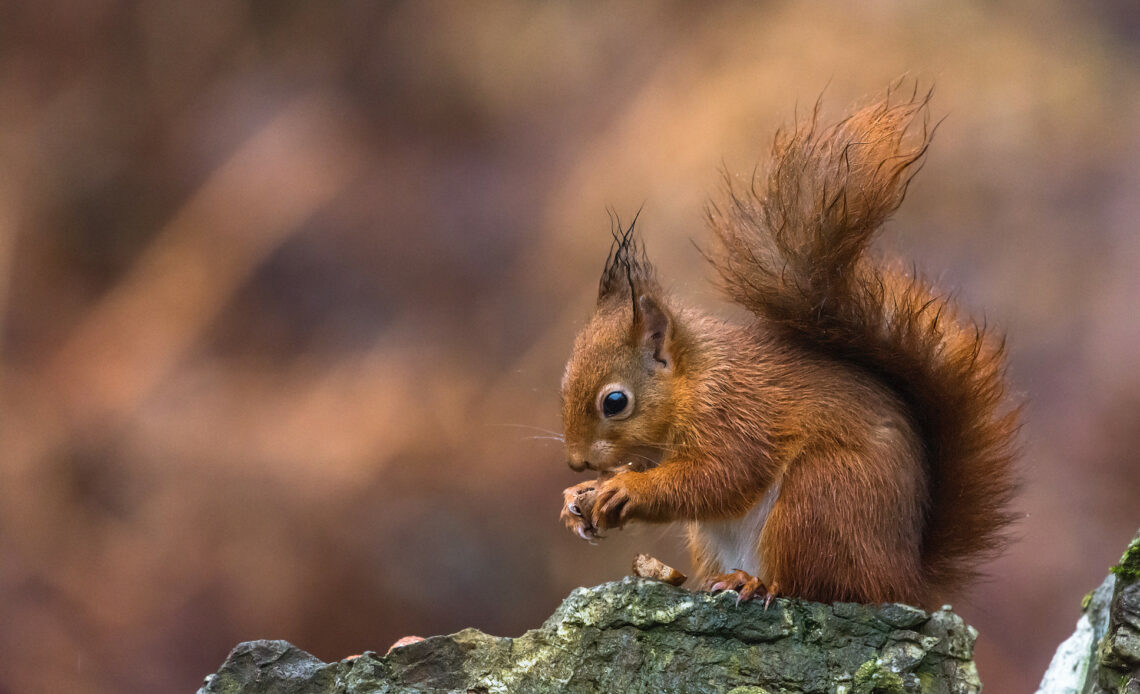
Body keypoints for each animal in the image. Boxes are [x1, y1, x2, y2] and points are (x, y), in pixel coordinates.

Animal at [556, 90, 1021, 606]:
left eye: (615, 402)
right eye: (563, 386)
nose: (576, 461)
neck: (694, 381)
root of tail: (901, 580)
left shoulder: (735, 415)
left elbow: (718, 477)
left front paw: (627, 489)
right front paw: (578, 497)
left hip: (820, 498)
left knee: (813, 584)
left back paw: (755, 582)